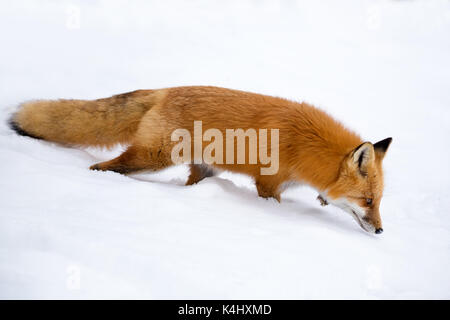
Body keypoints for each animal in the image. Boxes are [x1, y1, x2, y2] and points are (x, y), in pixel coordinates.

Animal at [9, 86, 390, 234]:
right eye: (368, 201)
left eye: (378, 201)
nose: (381, 230)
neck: (306, 144)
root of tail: (163, 90)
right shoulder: (268, 184)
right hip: (151, 158)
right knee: (101, 166)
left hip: (201, 169)